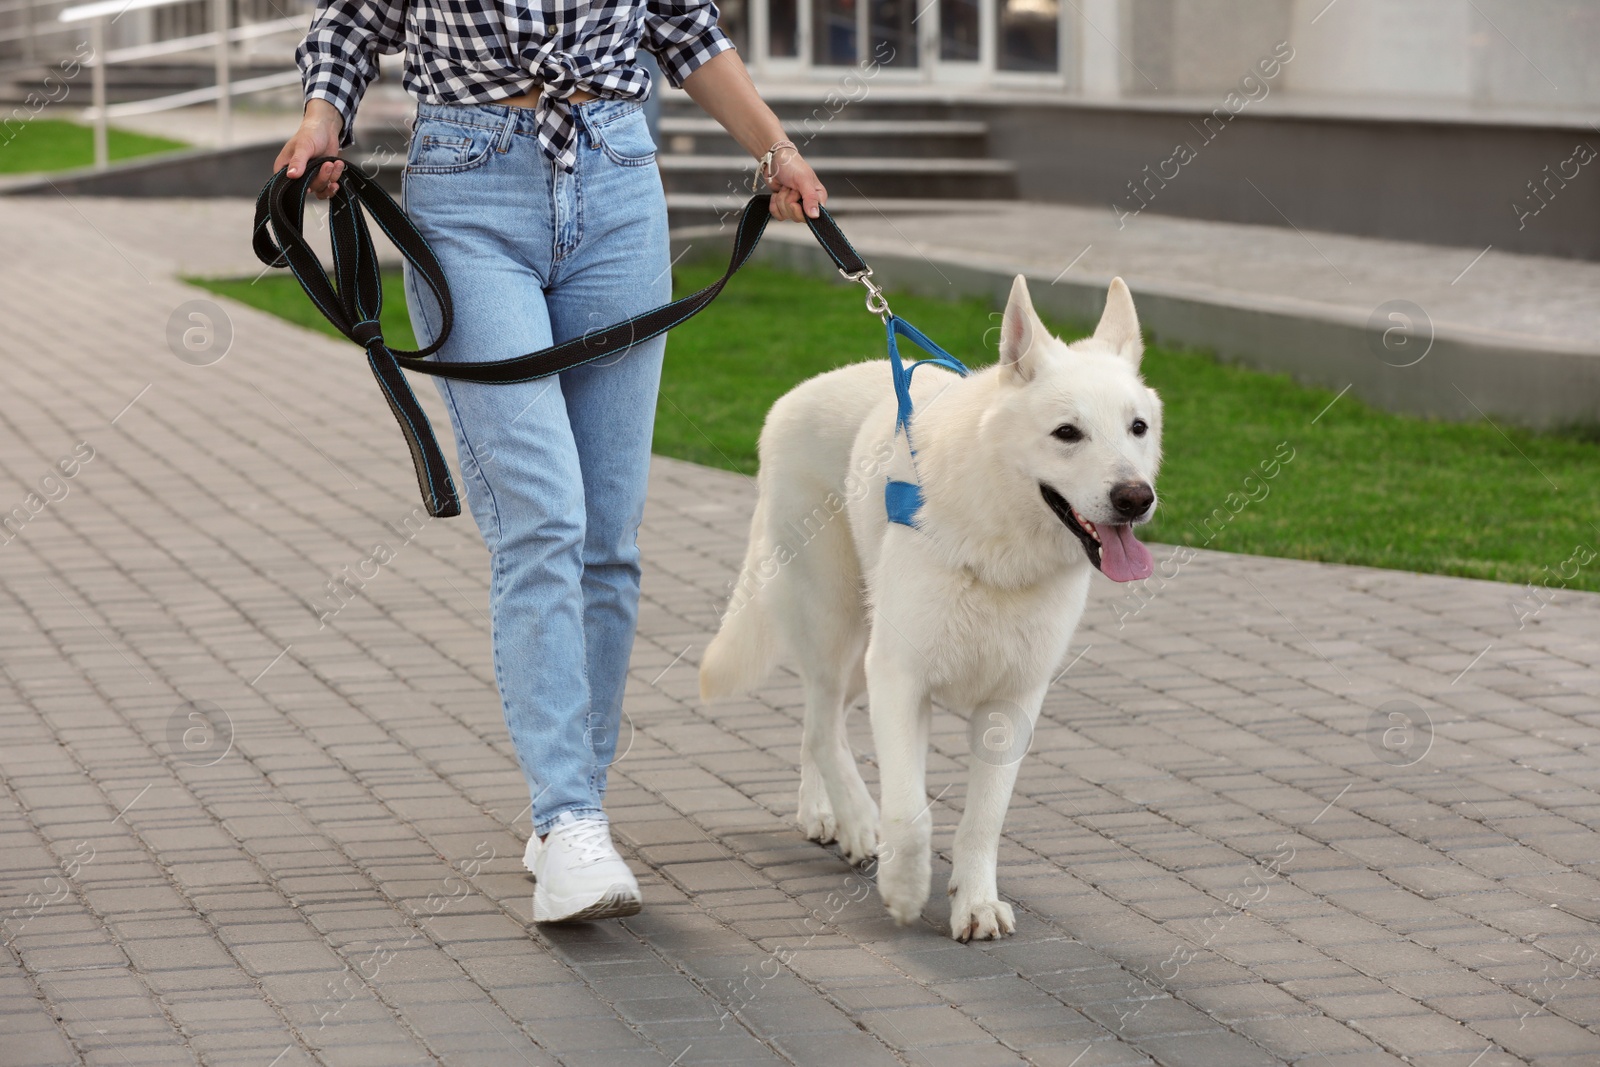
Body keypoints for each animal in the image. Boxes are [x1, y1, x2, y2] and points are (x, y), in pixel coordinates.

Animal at [700, 278, 1164, 940]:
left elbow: (983, 821)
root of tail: (792, 396)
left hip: (859, 658)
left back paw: (821, 812)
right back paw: (856, 822)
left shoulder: (1012, 702)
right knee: (822, 724)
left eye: (1138, 428)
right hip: (838, 628)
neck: (1000, 544)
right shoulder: (901, 679)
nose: (1135, 498)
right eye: (1067, 433)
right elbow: (910, 812)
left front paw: (975, 903)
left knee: (818, 724)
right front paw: (902, 888)